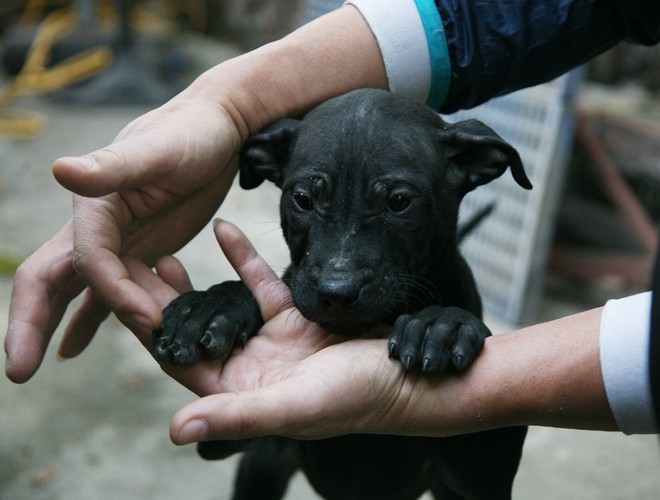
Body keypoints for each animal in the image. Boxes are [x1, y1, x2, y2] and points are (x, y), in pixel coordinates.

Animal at [153, 91, 532, 500]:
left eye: (400, 202)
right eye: (303, 199)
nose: (336, 292)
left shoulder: (478, 479)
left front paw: (443, 323)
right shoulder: (227, 437)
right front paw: (208, 307)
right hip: (261, 468)